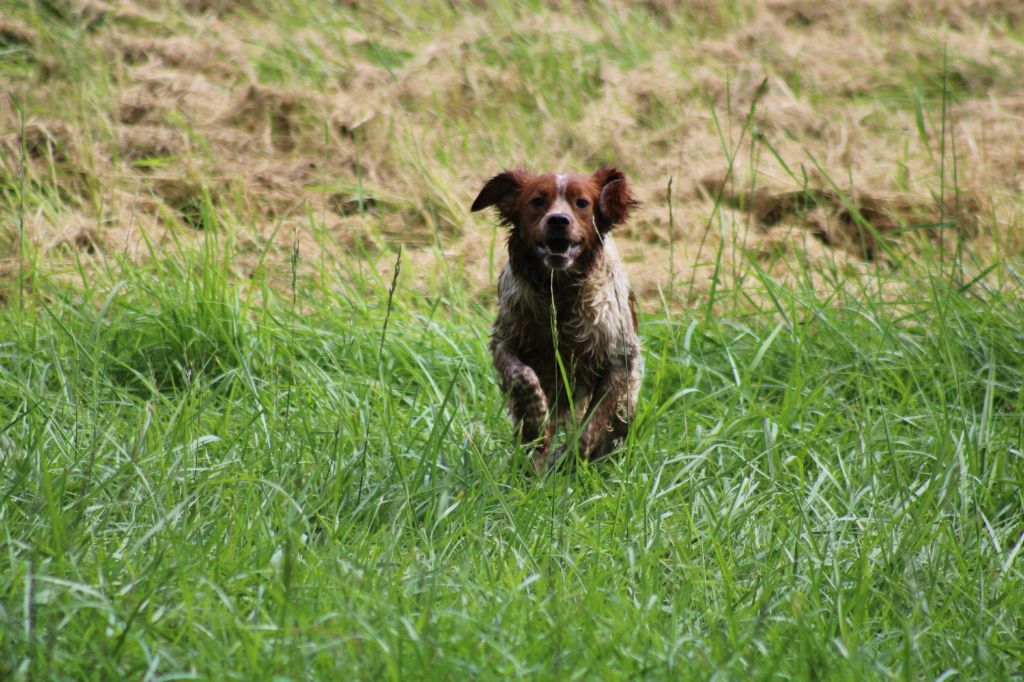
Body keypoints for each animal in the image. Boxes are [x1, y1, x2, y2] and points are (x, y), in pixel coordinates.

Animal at [468, 166, 638, 471]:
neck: (559, 293)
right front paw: (537, 425)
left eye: (582, 203)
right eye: (537, 201)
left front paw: (572, 456)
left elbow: (591, 425)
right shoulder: (505, 342)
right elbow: (523, 376)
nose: (558, 220)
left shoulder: (620, 360)